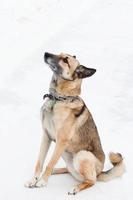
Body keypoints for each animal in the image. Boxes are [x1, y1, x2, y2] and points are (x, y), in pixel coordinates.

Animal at [24, 52, 124, 195]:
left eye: (65, 60)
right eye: (59, 53)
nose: (46, 53)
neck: (57, 99)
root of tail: (100, 172)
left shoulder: (61, 141)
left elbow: (50, 163)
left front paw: (42, 181)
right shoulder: (46, 136)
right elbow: (40, 162)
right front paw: (34, 179)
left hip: (81, 155)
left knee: (91, 181)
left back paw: (75, 188)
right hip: (66, 155)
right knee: (69, 170)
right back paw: (57, 171)